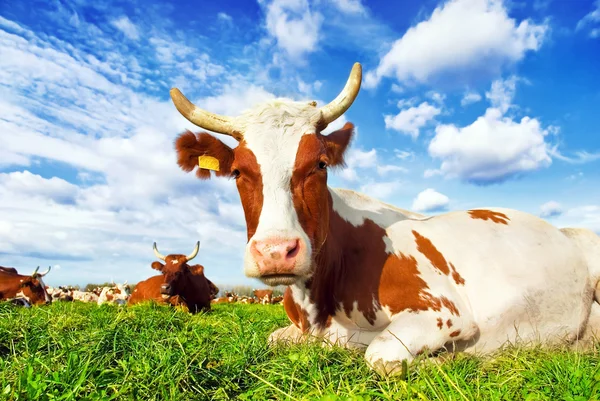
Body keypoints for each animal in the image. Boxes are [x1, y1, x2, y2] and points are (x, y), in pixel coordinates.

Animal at [169, 62, 600, 376]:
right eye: (237, 172)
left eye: (320, 164)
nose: (276, 252)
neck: (317, 302)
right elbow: (276, 339)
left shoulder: (442, 312)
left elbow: (378, 356)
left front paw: (452, 357)